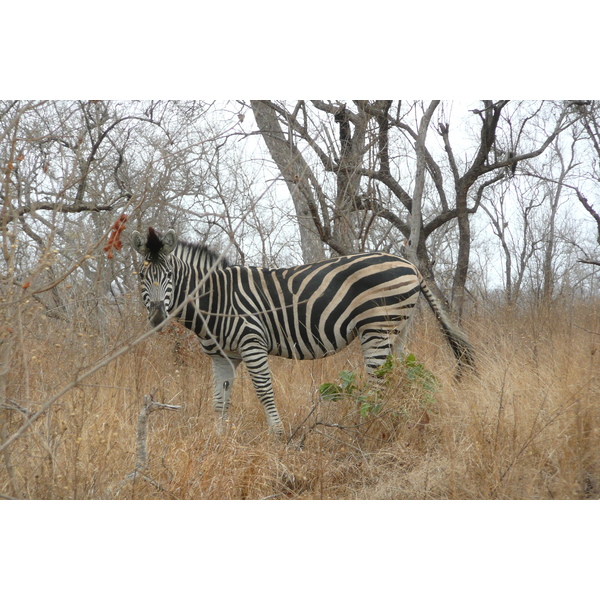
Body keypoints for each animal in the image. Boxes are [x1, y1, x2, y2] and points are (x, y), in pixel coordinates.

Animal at [131, 227, 474, 434]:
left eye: (170, 275)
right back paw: (398, 421)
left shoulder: (252, 344)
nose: (158, 316)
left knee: (378, 384)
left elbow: (264, 392)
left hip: (377, 328)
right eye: (141, 276)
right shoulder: (222, 356)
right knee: (400, 377)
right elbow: (219, 401)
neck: (216, 300)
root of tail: (410, 265)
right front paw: (218, 441)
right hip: (397, 329)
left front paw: (279, 437)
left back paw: (367, 427)